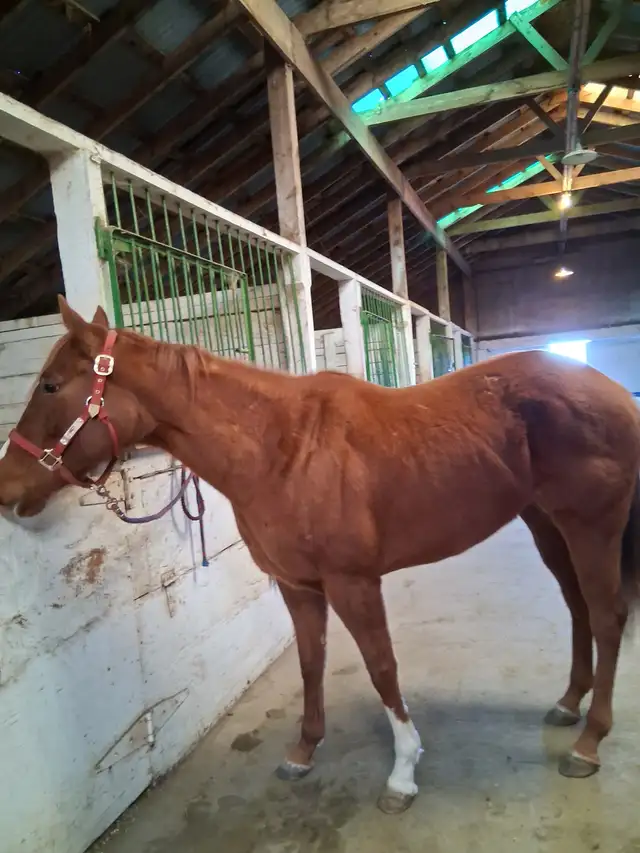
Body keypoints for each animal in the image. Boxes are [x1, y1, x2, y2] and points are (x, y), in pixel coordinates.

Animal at [1, 296, 639, 815]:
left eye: (51, 385)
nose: (7, 487)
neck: (280, 446)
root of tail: (611, 391)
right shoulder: (298, 585)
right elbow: (312, 662)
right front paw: (304, 751)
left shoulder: (353, 582)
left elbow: (383, 667)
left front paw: (403, 772)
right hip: (548, 526)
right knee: (579, 610)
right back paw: (568, 704)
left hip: (592, 528)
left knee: (608, 618)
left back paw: (588, 743)